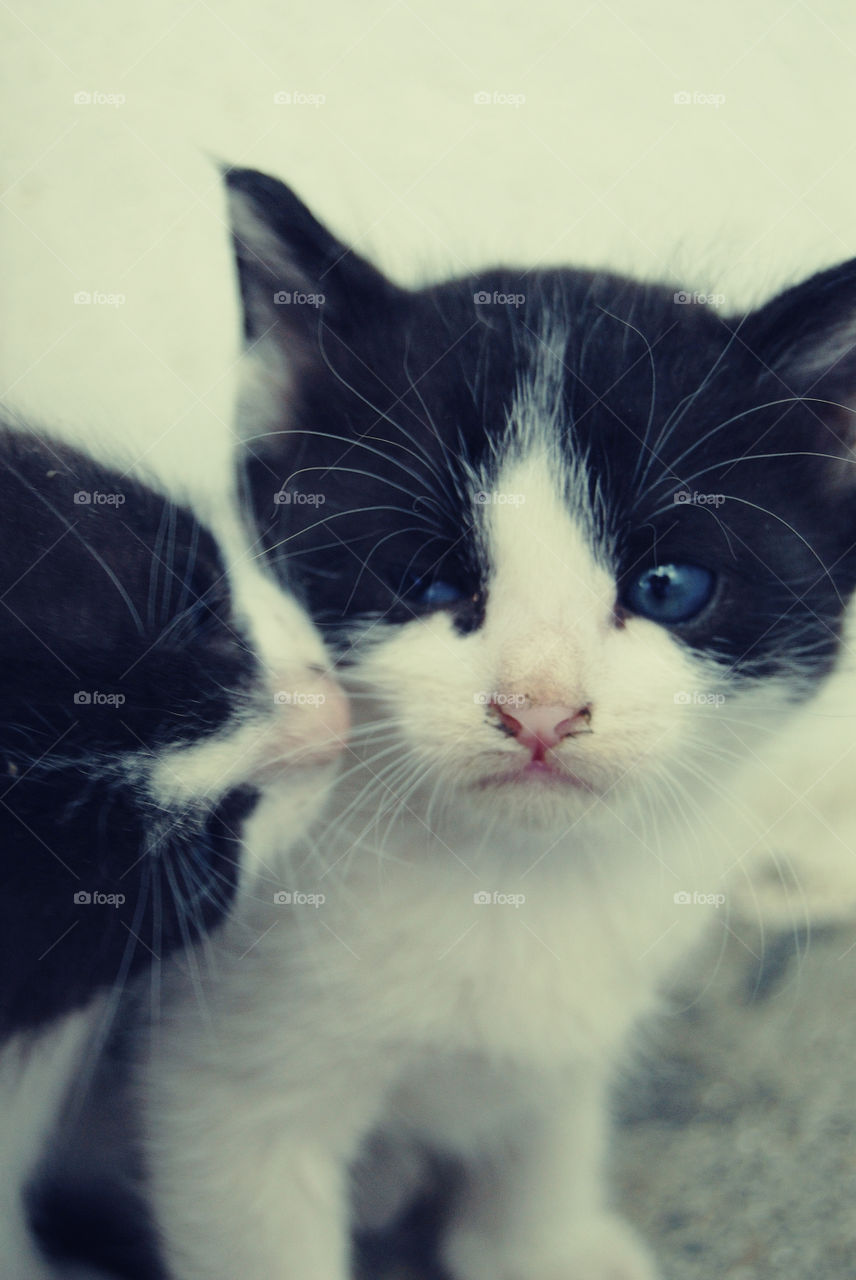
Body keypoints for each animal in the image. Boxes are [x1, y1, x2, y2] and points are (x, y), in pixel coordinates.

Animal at [136, 172, 854, 1280]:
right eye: (426, 579)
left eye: (668, 586)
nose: (541, 706)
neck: (512, 878)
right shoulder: (226, 1098)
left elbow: (548, 1117)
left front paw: (540, 1241)